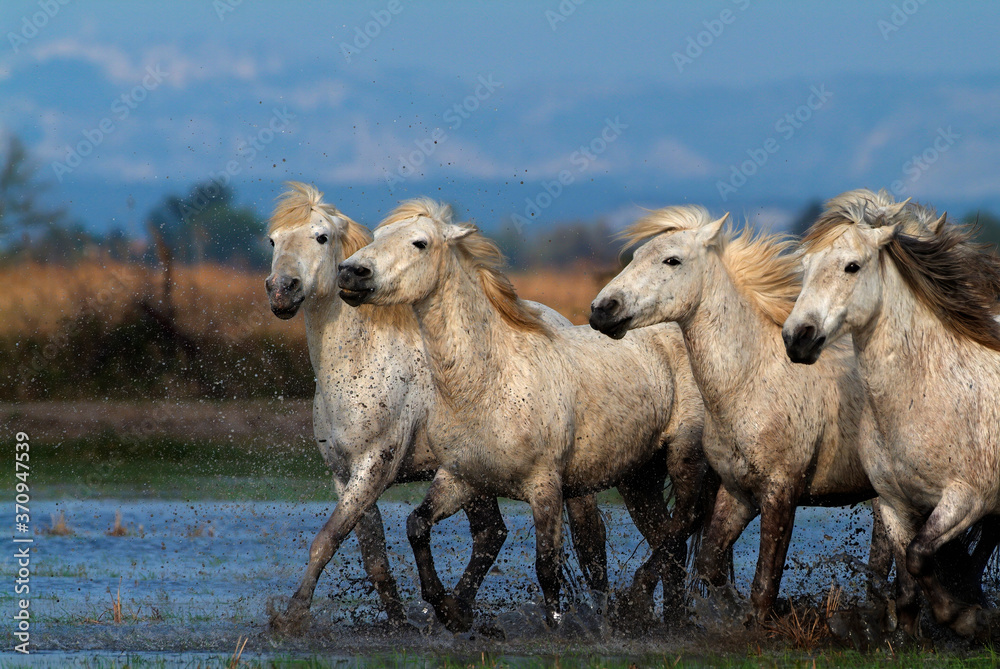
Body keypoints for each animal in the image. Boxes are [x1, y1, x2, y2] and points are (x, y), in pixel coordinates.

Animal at [264, 183, 609, 633]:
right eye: (273, 241)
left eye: (321, 237)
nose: (281, 290)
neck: (360, 363)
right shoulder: (345, 476)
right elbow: (373, 558)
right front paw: (399, 624)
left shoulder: (373, 468)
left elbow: (327, 540)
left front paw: (291, 617)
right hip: (476, 478)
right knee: (491, 535)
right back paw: (457, 609)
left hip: (570, 483)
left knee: (588, 545)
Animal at [336, 198, 714, 629]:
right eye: (379, 236)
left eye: (419, 243)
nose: (350, 272)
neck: (490, 382)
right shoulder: (461, 477)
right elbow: (417, 525)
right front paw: (449, 610)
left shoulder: (545, 486)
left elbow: (547, 567)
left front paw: (557, 626)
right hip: (638, 477)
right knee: (670, 543)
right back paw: (669, 619)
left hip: (684, 456)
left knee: (682, 525)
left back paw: (638, 606)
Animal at [589, 206, 883, 625]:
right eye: (635, 256)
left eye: (672, 260)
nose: (602, 311)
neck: (753, 382)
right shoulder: (738, 493)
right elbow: (709, 563)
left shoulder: (781, 492)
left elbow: (764, 584)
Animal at [783, 190, 1000, 638]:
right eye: (805, 268)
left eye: (852, 266)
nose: (797, 338)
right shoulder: (894, 504)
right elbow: (906, 581)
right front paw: (909, 633)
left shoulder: (965, 498)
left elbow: (919, 556)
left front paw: (962, 617)